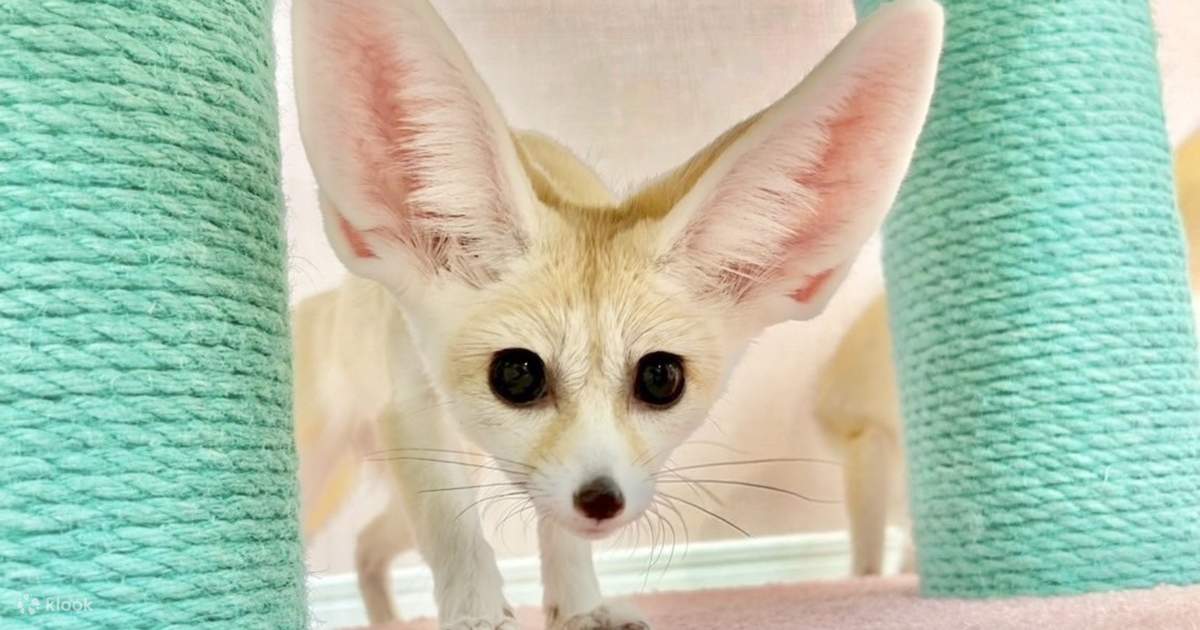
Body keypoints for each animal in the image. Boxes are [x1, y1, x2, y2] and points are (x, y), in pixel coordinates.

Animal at [290, 0, 943, 627]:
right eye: (516, 374)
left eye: (661, 378)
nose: (602, 500)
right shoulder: (414, 408)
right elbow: (454, 532)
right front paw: (477, 615)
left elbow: (559, 535)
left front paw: (581, 609)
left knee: (367, 543)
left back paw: (386, 620)